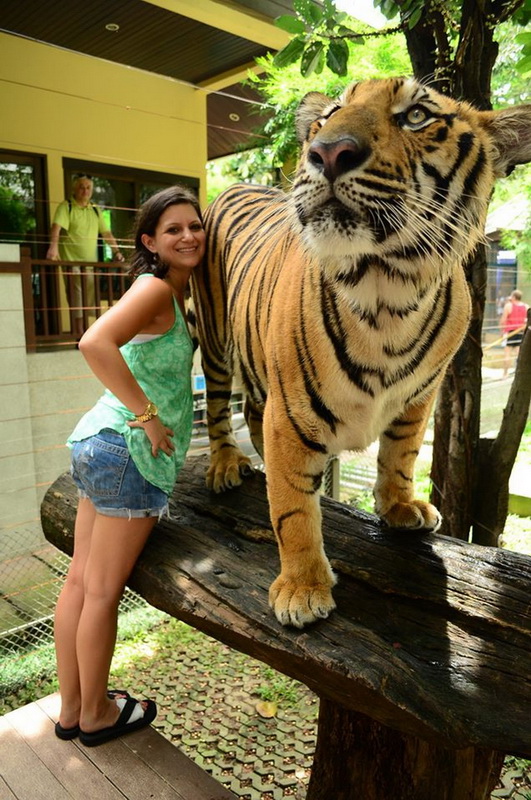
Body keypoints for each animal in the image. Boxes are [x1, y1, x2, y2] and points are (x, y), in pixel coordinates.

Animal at [191, 79, 531, 632]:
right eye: (329, 114)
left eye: (415, 116)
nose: (328, 151)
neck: (390, 291)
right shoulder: (290, 414)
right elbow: (293, 509)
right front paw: (303, 589)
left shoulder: (421, 396)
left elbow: (401, 453)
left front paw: (400, 507)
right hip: (215, 336)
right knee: (220, 407)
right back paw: (224, 464)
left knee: (250, 410)